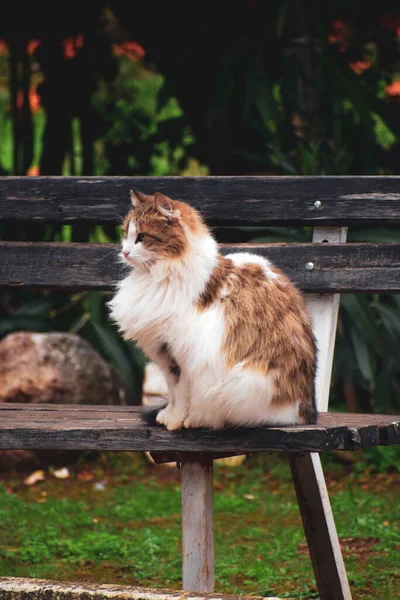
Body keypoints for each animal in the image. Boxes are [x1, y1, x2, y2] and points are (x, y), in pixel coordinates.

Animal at [108, 190, 318, 428]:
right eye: (125, 233)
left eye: (142, 237)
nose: (124, 252)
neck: (158, 276)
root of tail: (307, 414)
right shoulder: (164, 353)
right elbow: (172, 392)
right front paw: (168, 415)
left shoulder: (182, 357)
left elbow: (181, 394)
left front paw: (175, 421)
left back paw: (197, 419)